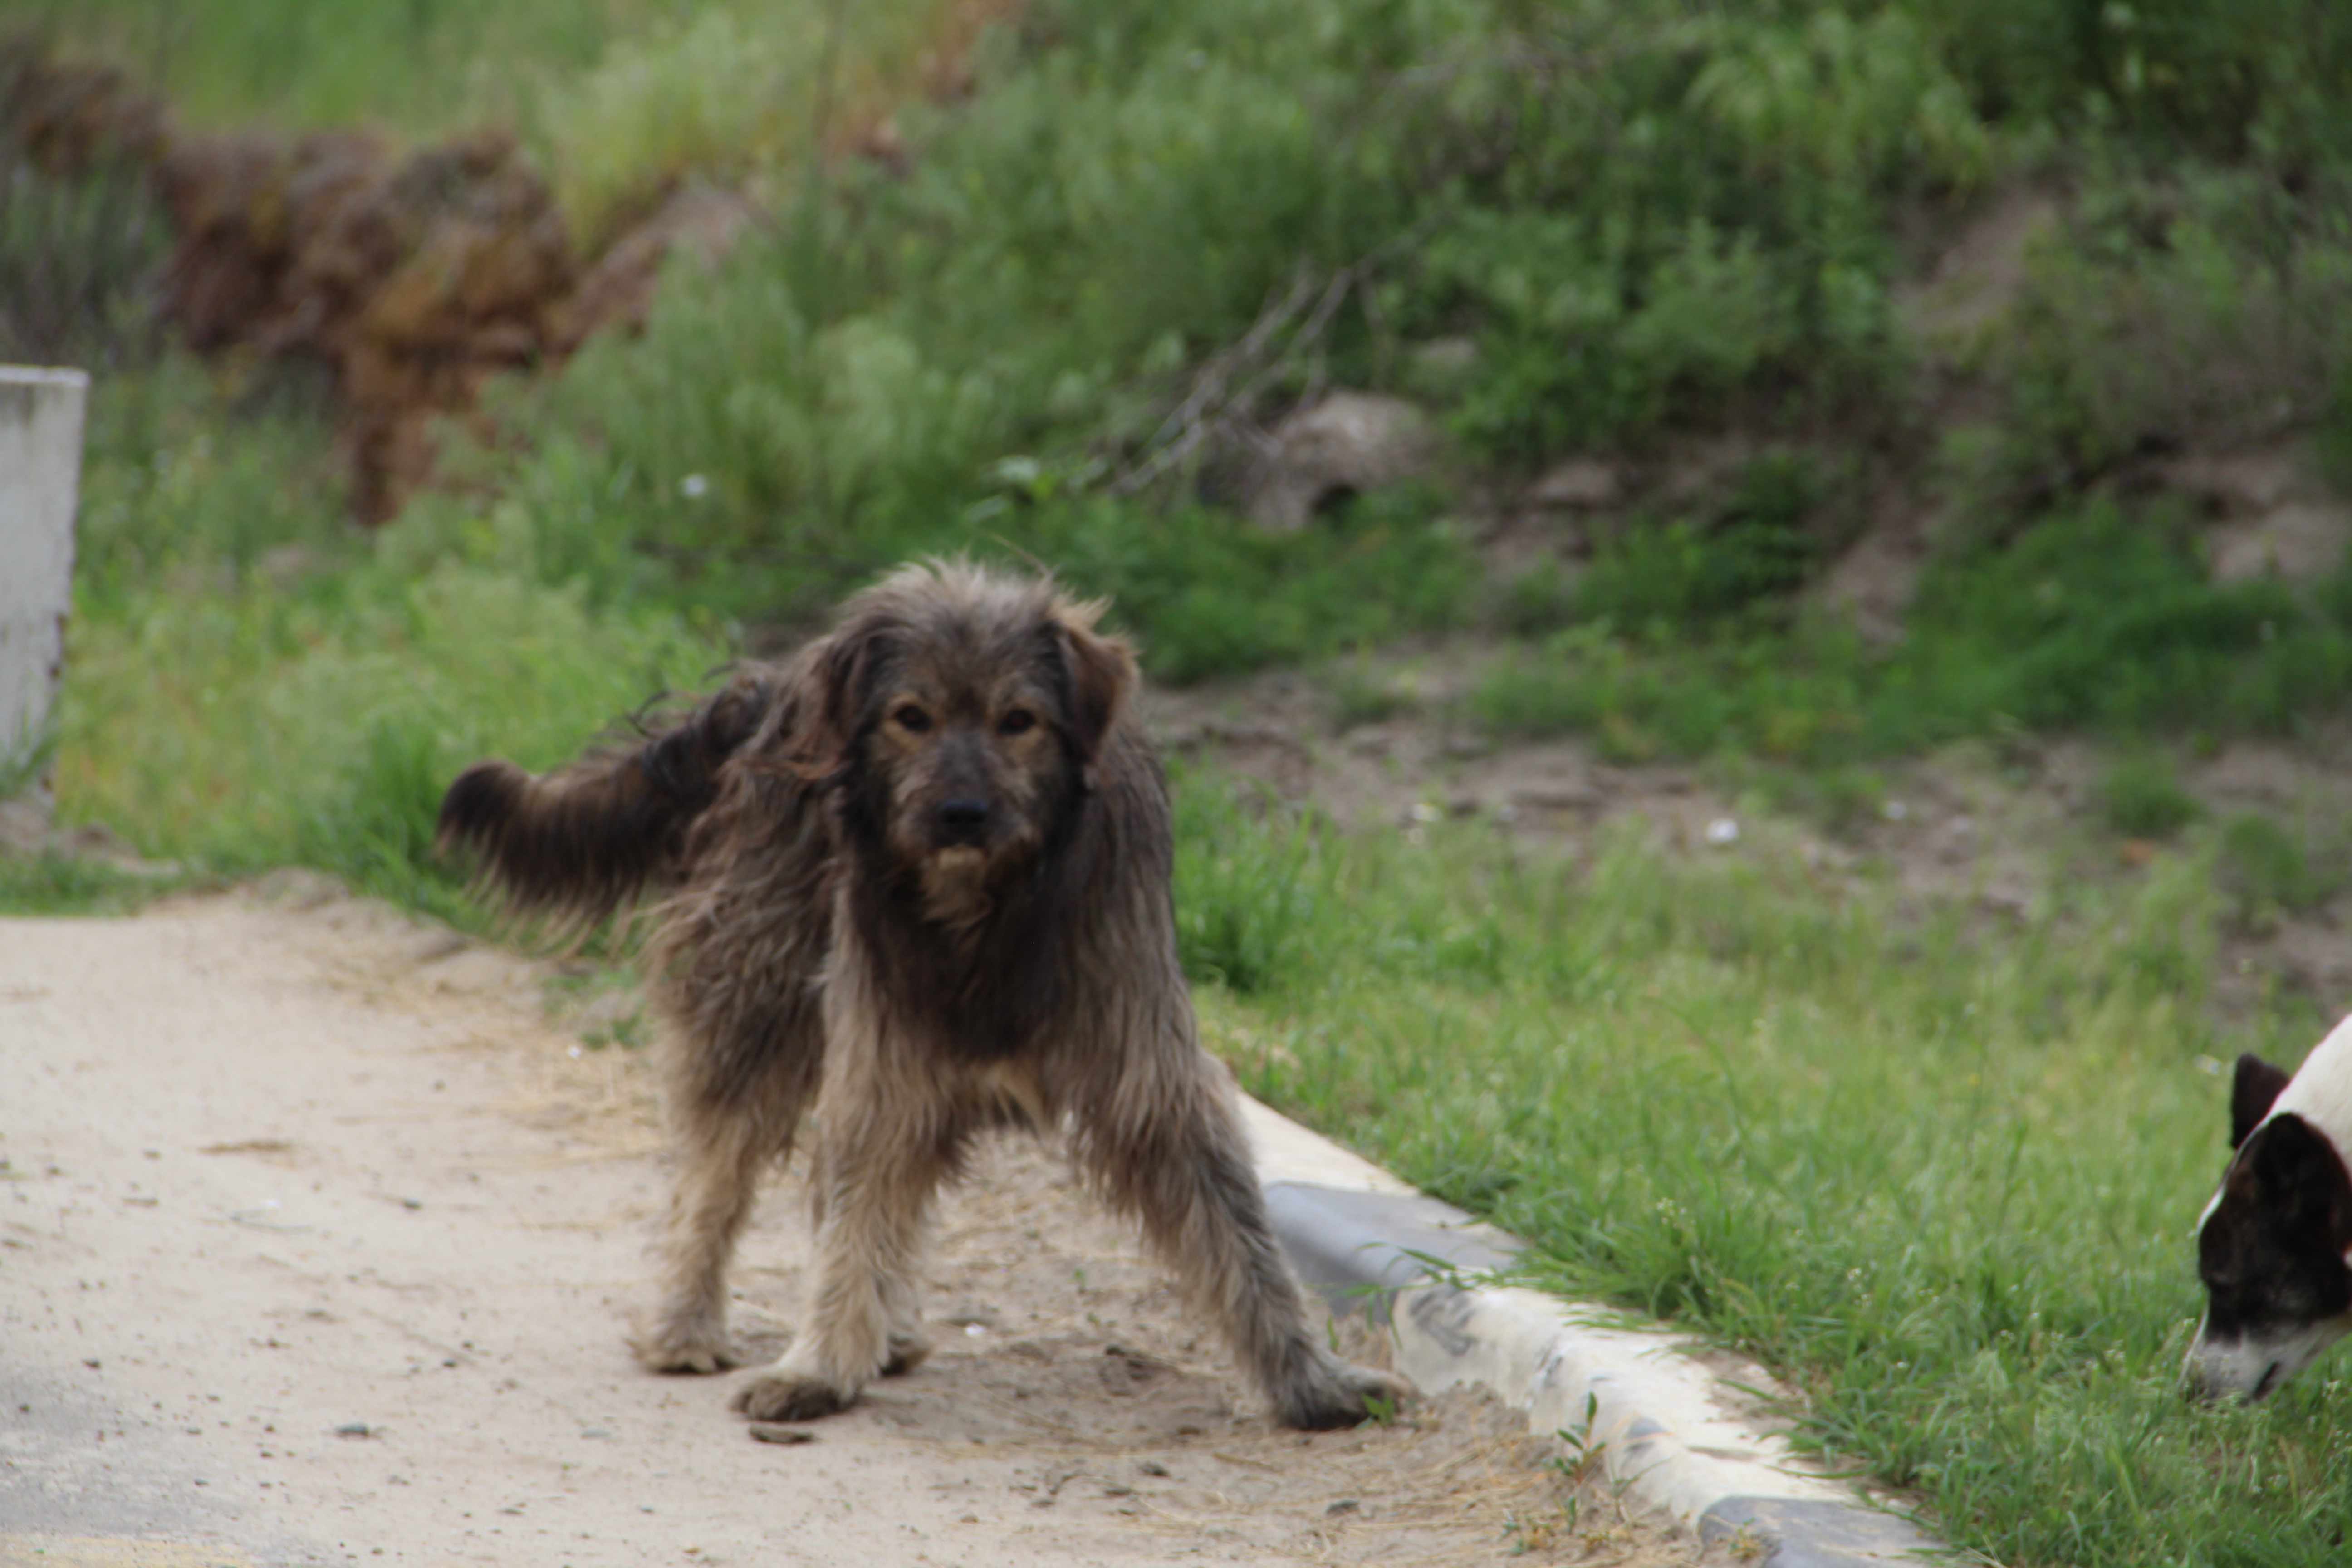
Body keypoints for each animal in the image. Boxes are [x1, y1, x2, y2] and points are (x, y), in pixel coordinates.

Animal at [440, 564, 1401, 1439]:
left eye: (1019, 720)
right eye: (911, 717)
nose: (961, 812)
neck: (988, 908)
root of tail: (767, 685)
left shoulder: (1144, 1070)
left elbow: (1240, 1238)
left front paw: (1312, 1380)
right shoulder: (884, 1051)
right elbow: (853, 1203)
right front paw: (817, 1363)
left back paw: (884, 1327)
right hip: (758, 994)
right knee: (718, 1173)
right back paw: (690, 1322)